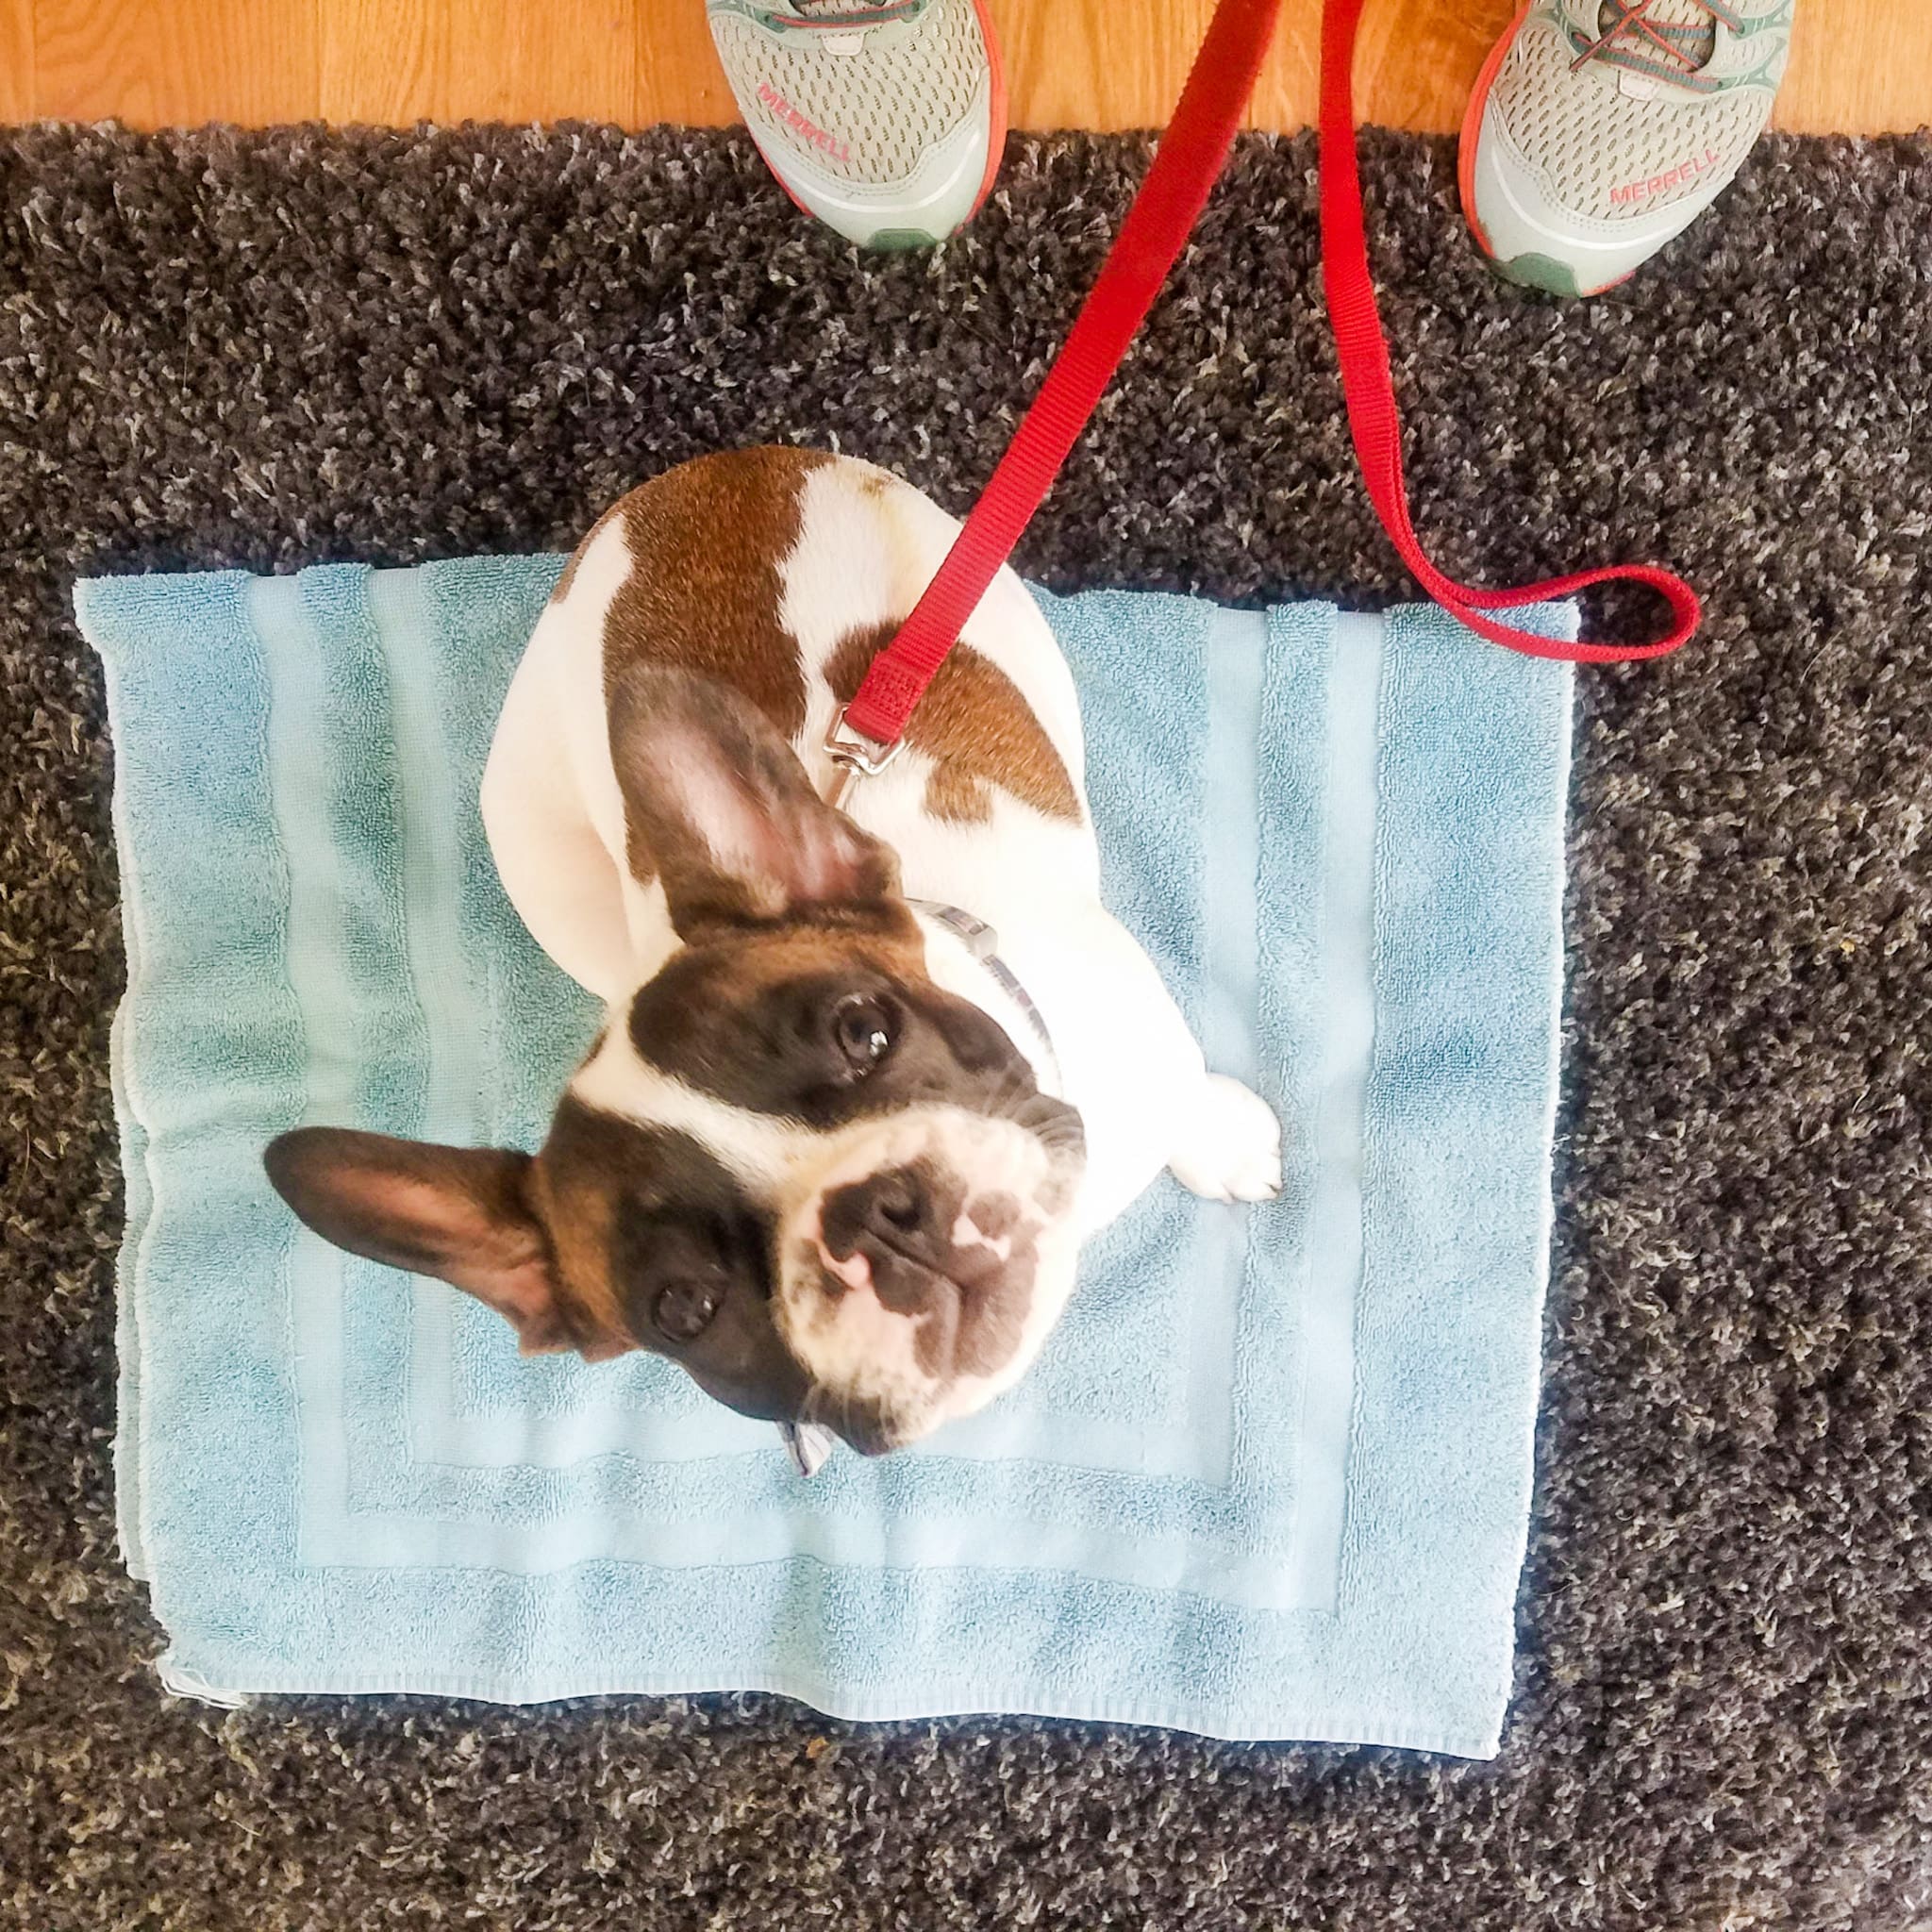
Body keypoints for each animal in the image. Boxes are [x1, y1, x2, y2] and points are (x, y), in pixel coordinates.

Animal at [260, 448, 1282, 1453]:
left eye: (865, 1030)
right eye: (685, 1306)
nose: (876, 1216)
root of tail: (708, 470)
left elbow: (1182, 1090)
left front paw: (1220, 1136)